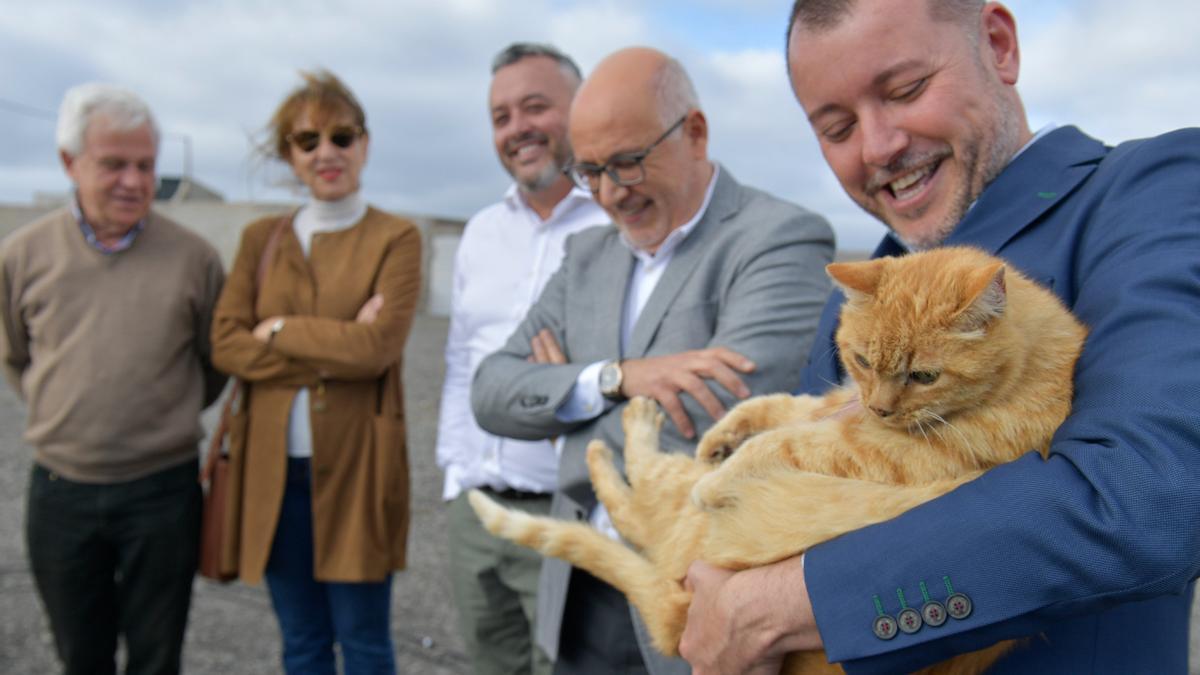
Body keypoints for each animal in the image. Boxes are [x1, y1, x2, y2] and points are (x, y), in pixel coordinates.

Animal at [468, 247, 1089, 672]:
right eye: (862, 361)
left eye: (924, 376)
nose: (881, 408)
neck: (1027, 367)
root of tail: (677, 612)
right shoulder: (837, 401)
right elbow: (775, 405)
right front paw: (723, 435)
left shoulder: (875, 450)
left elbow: (780, 441)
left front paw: (723, 470)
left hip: (680, 516)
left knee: (638, 502)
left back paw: (633, 430)